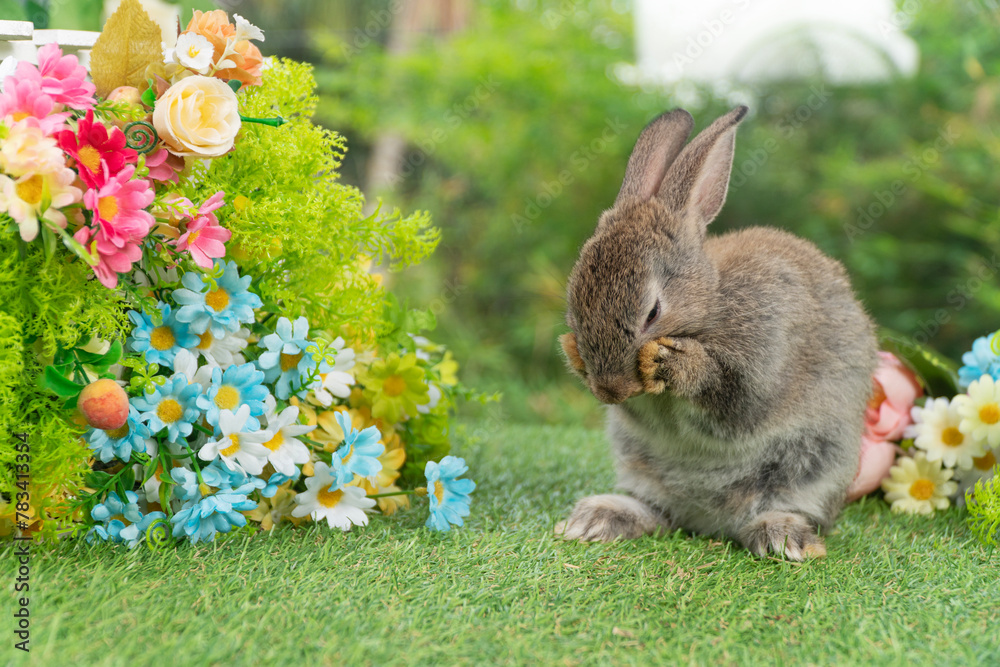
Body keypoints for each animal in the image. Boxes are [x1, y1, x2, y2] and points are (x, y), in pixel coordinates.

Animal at [555, 107, 878, 561]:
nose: (609, 391)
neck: (708, 306)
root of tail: (707, 521)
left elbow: (733, 402)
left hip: (814, 464)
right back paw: (597, 519)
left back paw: (783, 539)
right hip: (640, 465)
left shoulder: (763, 359)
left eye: (653, 312)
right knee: (658, 513)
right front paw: (573, 354)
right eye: (575, 299)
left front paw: (675, 364)